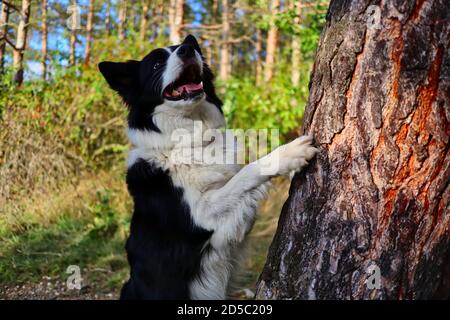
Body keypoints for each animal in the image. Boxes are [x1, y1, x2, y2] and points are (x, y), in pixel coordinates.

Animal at [98, 35, 316, 300]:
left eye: (190, 49)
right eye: (156, 64)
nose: (188, 49)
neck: (191, 140)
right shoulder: (203, 216)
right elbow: (245, 174)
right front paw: (288, 154)